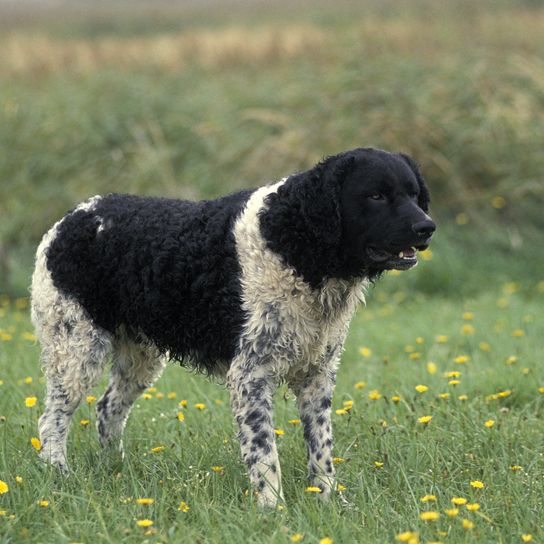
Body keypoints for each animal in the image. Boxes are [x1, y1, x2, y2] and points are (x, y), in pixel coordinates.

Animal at [31, 147, 436, 508]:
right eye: (376, 195)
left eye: (414, 194)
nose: (427, 227)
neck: (294, 243)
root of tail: (70, 220)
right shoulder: (249, 374)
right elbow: (264, 453)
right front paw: (273, 510)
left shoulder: (317, 373)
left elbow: (321, 450)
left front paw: (329, 502)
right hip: (76, 351)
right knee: (51, 420)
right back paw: (59, 476)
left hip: (139, 359)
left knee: (107, 410)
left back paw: (116, 470)